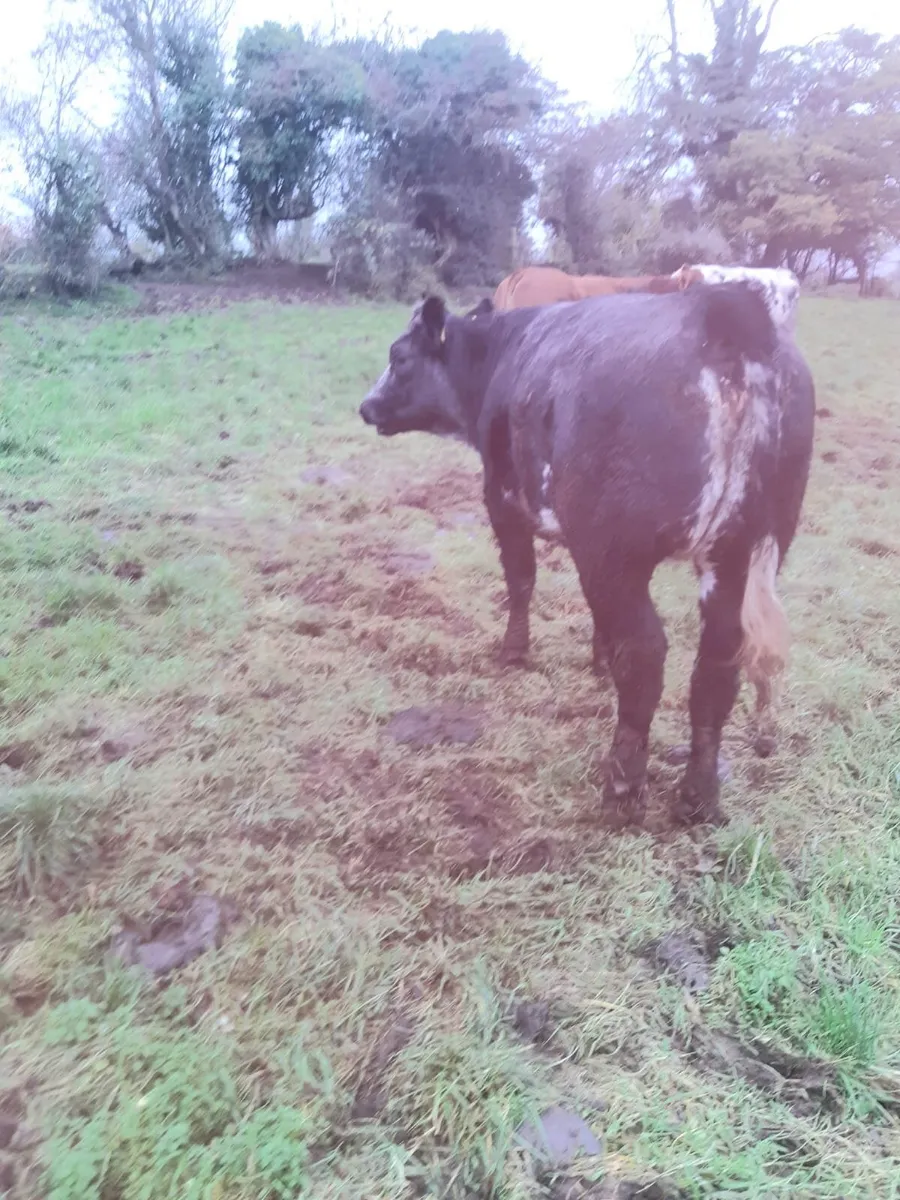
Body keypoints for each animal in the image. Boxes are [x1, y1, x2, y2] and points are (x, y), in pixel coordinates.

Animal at [359, 285, 815, 830]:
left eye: (399, 357)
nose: (366, 406)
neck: (498, 357)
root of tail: (722, 310)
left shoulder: (504, 501)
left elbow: (521, 579)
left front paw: (513, 652)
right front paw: (598, 660)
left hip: (618, 551)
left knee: (645, 654)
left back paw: (622, 791)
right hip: (737, 551)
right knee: (717, 662)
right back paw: (697, 798)